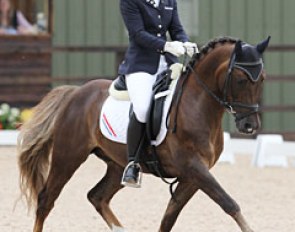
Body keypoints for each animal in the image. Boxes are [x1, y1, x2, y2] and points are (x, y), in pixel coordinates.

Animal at [17, 36, 270, 232]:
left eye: (263, 79)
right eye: (240, 80)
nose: (250, 125)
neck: (197, 105)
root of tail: (76, 92)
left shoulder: (193, 175)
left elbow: (169, 217)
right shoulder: (194, 167)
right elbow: (229, 203)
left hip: (117, 164)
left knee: (97, 196)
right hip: (67, 156)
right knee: (46, 199)